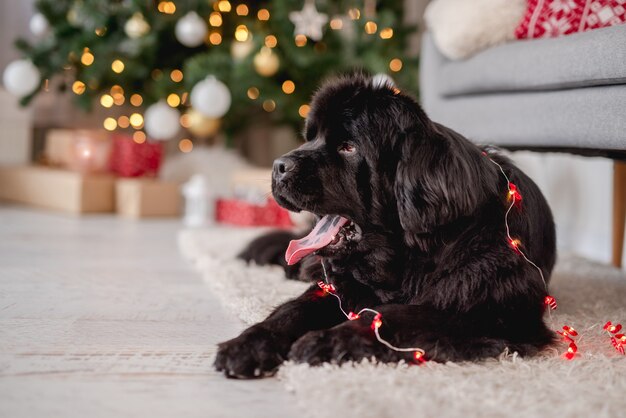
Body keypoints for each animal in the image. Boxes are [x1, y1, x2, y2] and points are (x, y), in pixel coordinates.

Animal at [214, 73, 556, 378]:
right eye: (311, 137)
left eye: (348, 147)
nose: (278, 166)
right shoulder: (339, 288)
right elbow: (293, 310)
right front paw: (249, 344)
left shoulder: (489, 309)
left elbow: (394, 316)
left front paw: (326, 341)